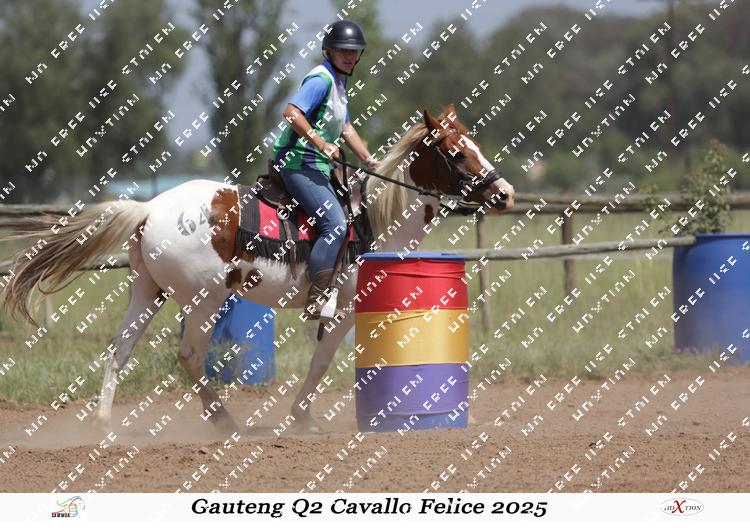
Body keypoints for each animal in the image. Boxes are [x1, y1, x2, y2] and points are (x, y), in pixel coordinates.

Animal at [2, 104, 515, 435]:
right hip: (204, 299)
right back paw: (223, 420)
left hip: (147, 292)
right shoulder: (346, 308)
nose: (505, 193)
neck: (373, 216)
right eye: (458, 153)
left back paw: (105, 425)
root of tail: (148, 208)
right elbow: (324, 360)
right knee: (189, 355)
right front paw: (302, 417)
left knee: (119, 349)